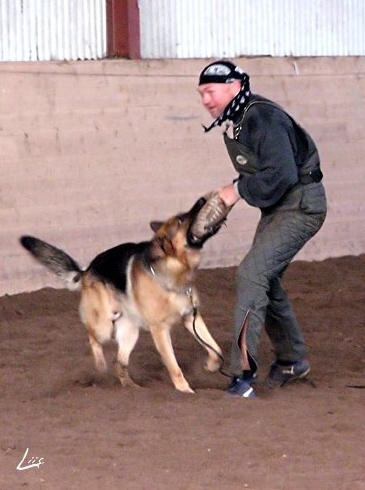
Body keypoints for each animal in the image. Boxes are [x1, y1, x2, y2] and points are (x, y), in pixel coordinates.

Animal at [22, 197, 225, 392]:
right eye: (181, 220)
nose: (201, 200)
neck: (170, 273)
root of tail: (87, 271)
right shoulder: (160, 330)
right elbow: (174, 366)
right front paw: (185, 390)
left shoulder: (191, 318)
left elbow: (216, 349)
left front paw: (211, 366)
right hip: (104, 326)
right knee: (93, 339)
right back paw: (100, 365)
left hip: (130, 332)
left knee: (119, 364)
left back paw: (131, 387)